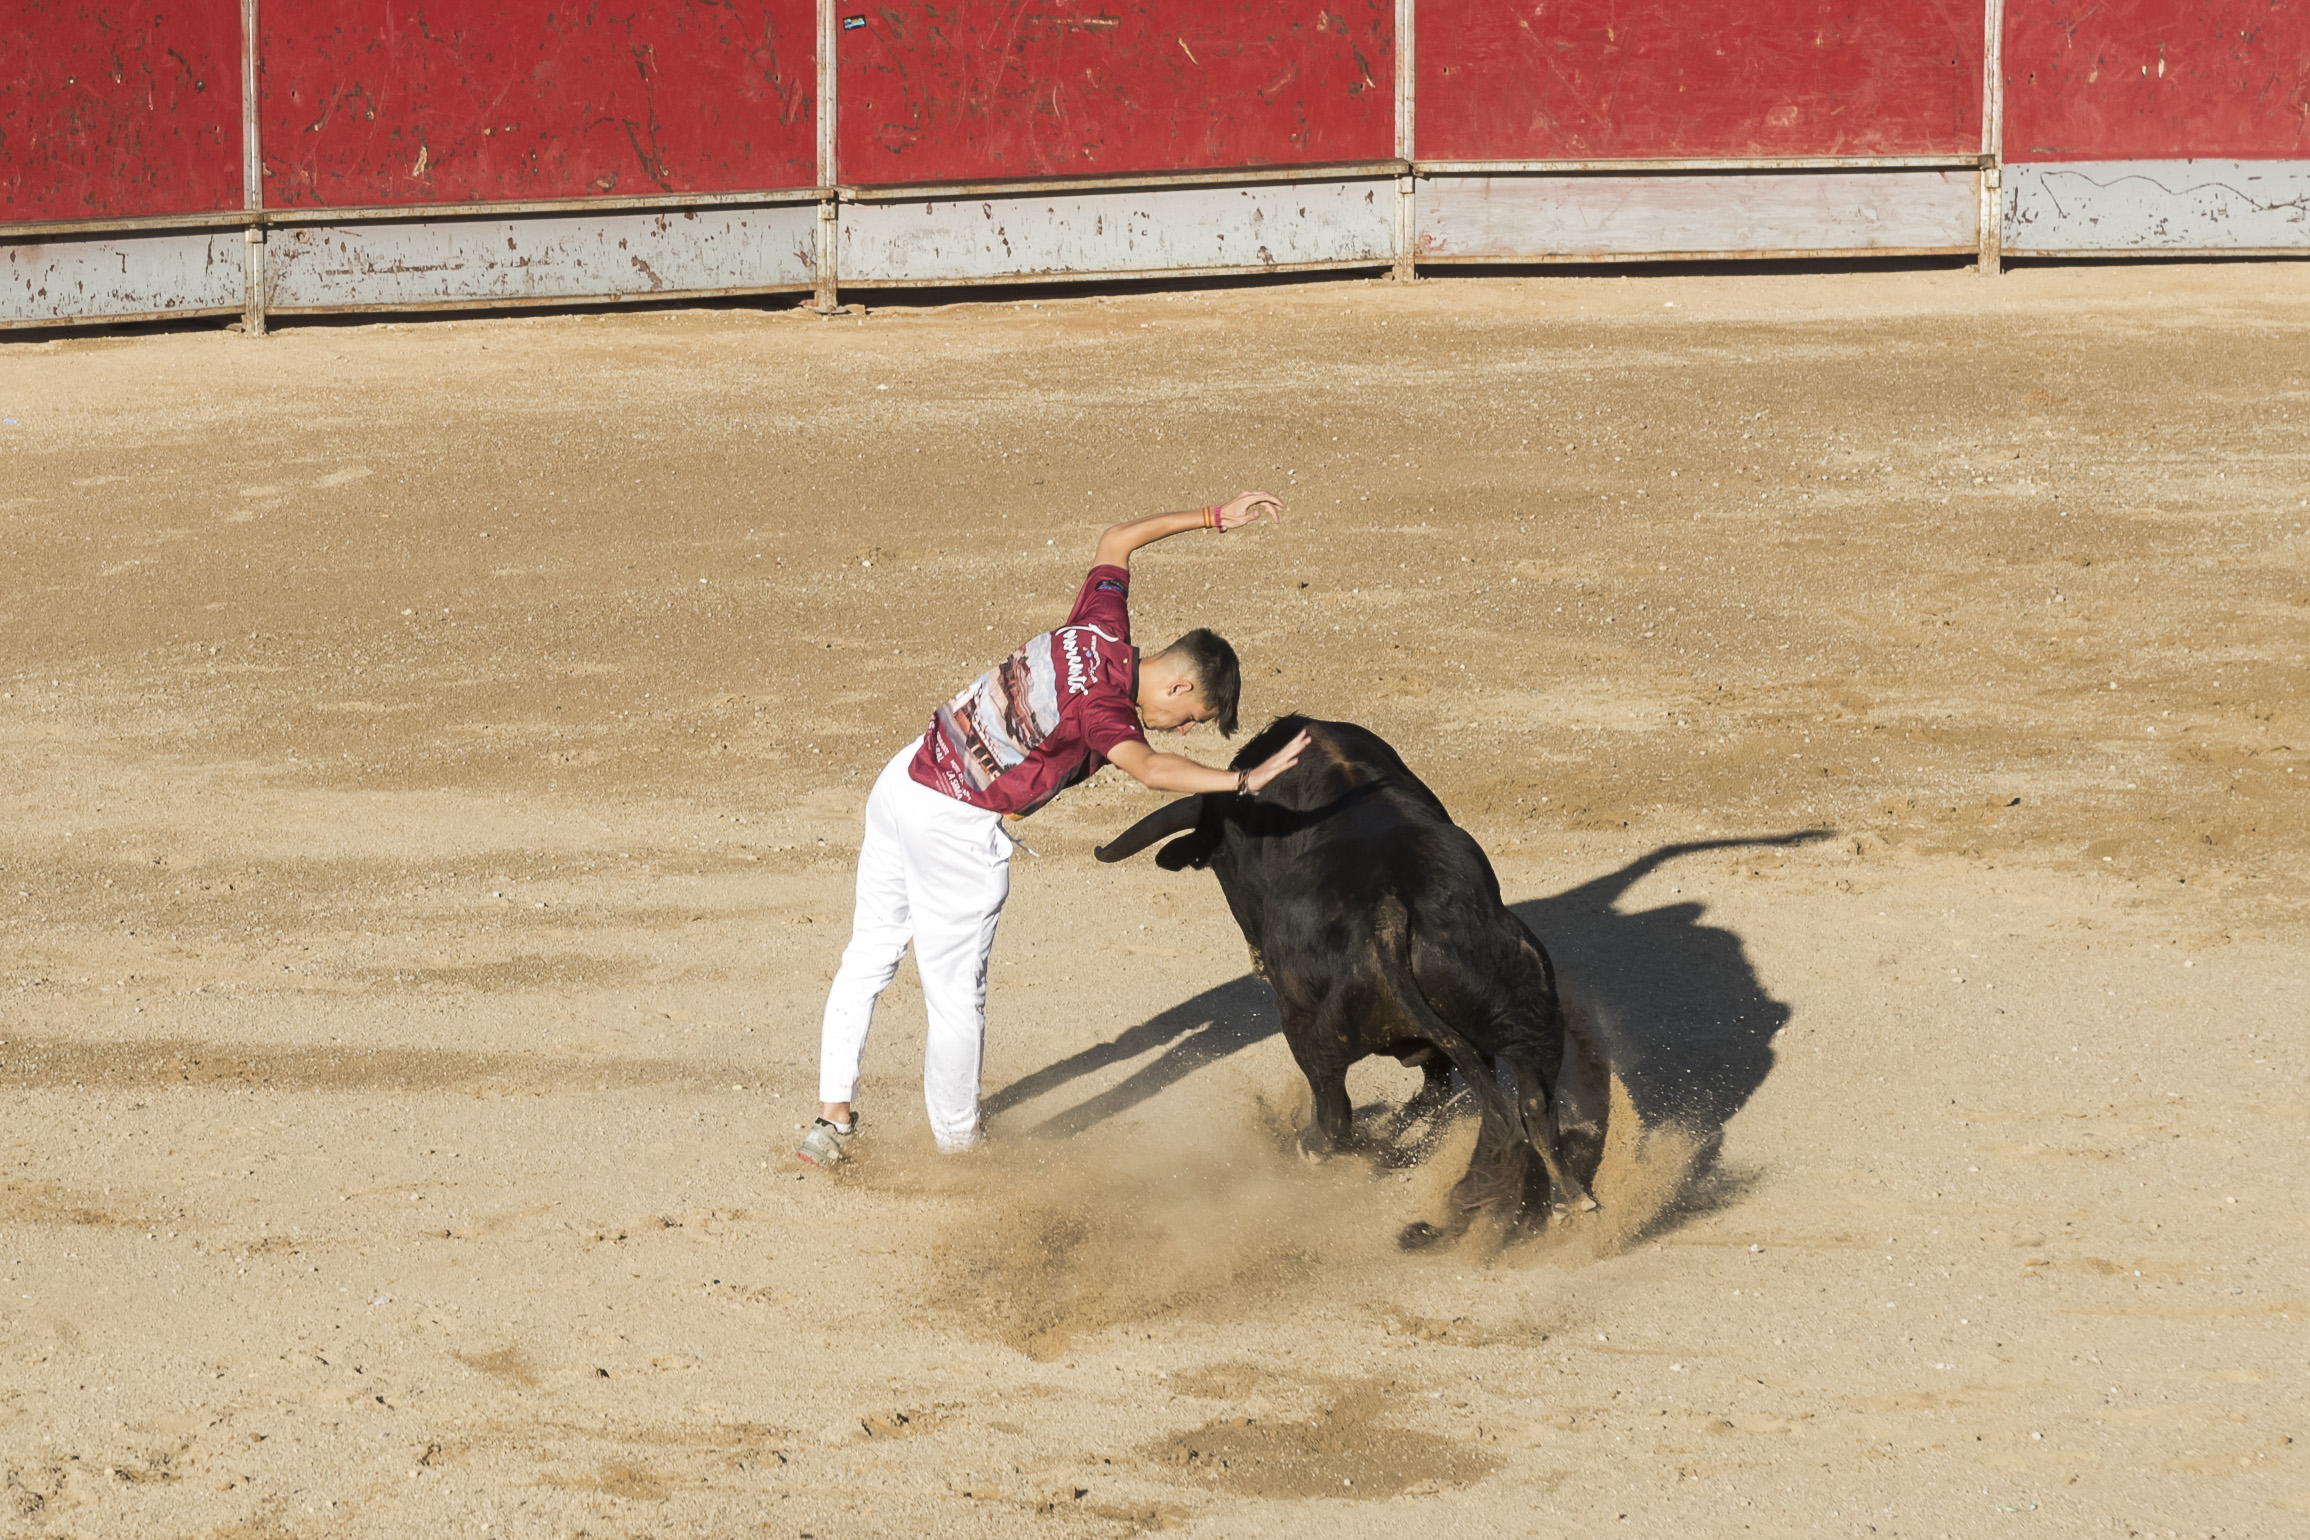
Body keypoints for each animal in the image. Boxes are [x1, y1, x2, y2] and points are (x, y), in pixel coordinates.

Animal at [1094, 715, 1607, 1246]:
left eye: (1219, 861)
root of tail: (1389, 911)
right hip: (1529, 1009)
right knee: (1527, 1105)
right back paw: (1569, 1199)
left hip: (1306, 1027)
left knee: (1336, 1111)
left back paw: (1315, 1146)